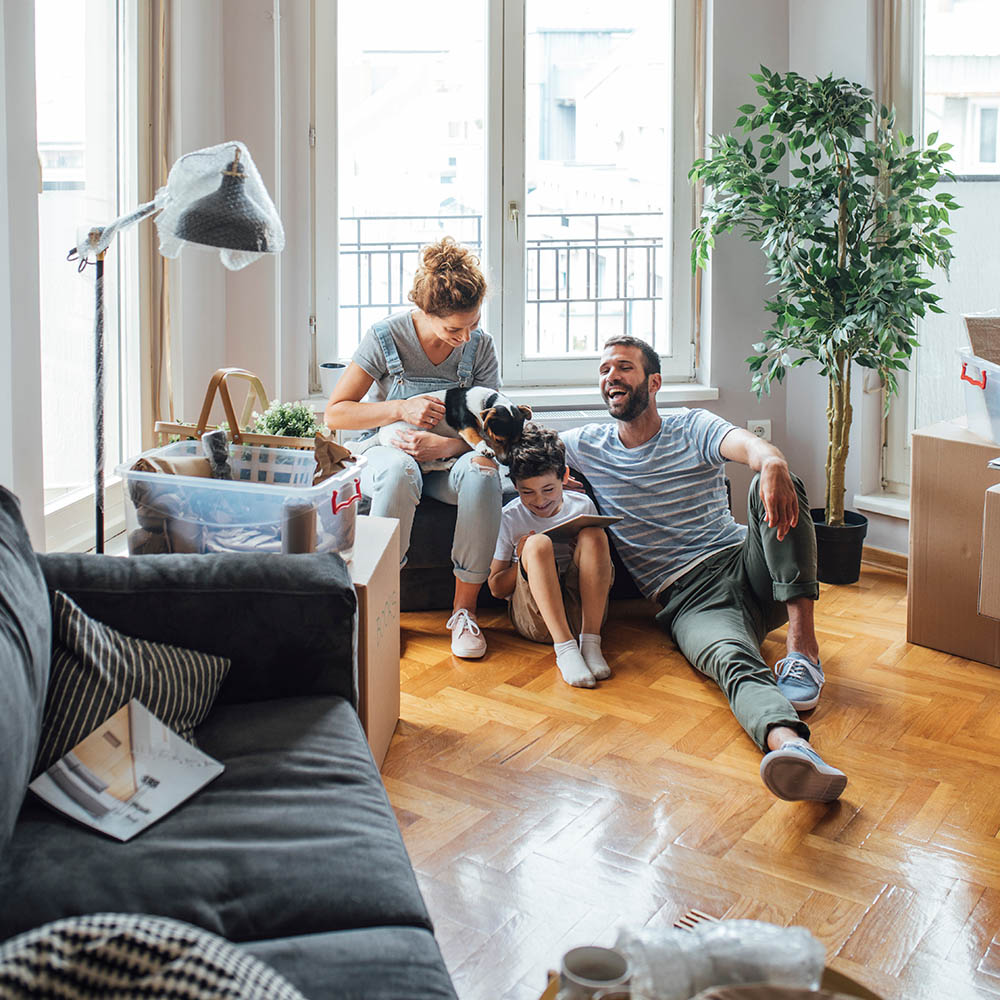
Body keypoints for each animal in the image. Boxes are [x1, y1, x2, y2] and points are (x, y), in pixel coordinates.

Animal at [376, 384, 532, 466]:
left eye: (517, 441)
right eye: (499, 440)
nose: (507, 463)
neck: (486, 400)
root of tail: (381, 433)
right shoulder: (466, 426)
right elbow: (477, 438)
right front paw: (485, 449)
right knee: (426, 466)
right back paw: (446, 463)